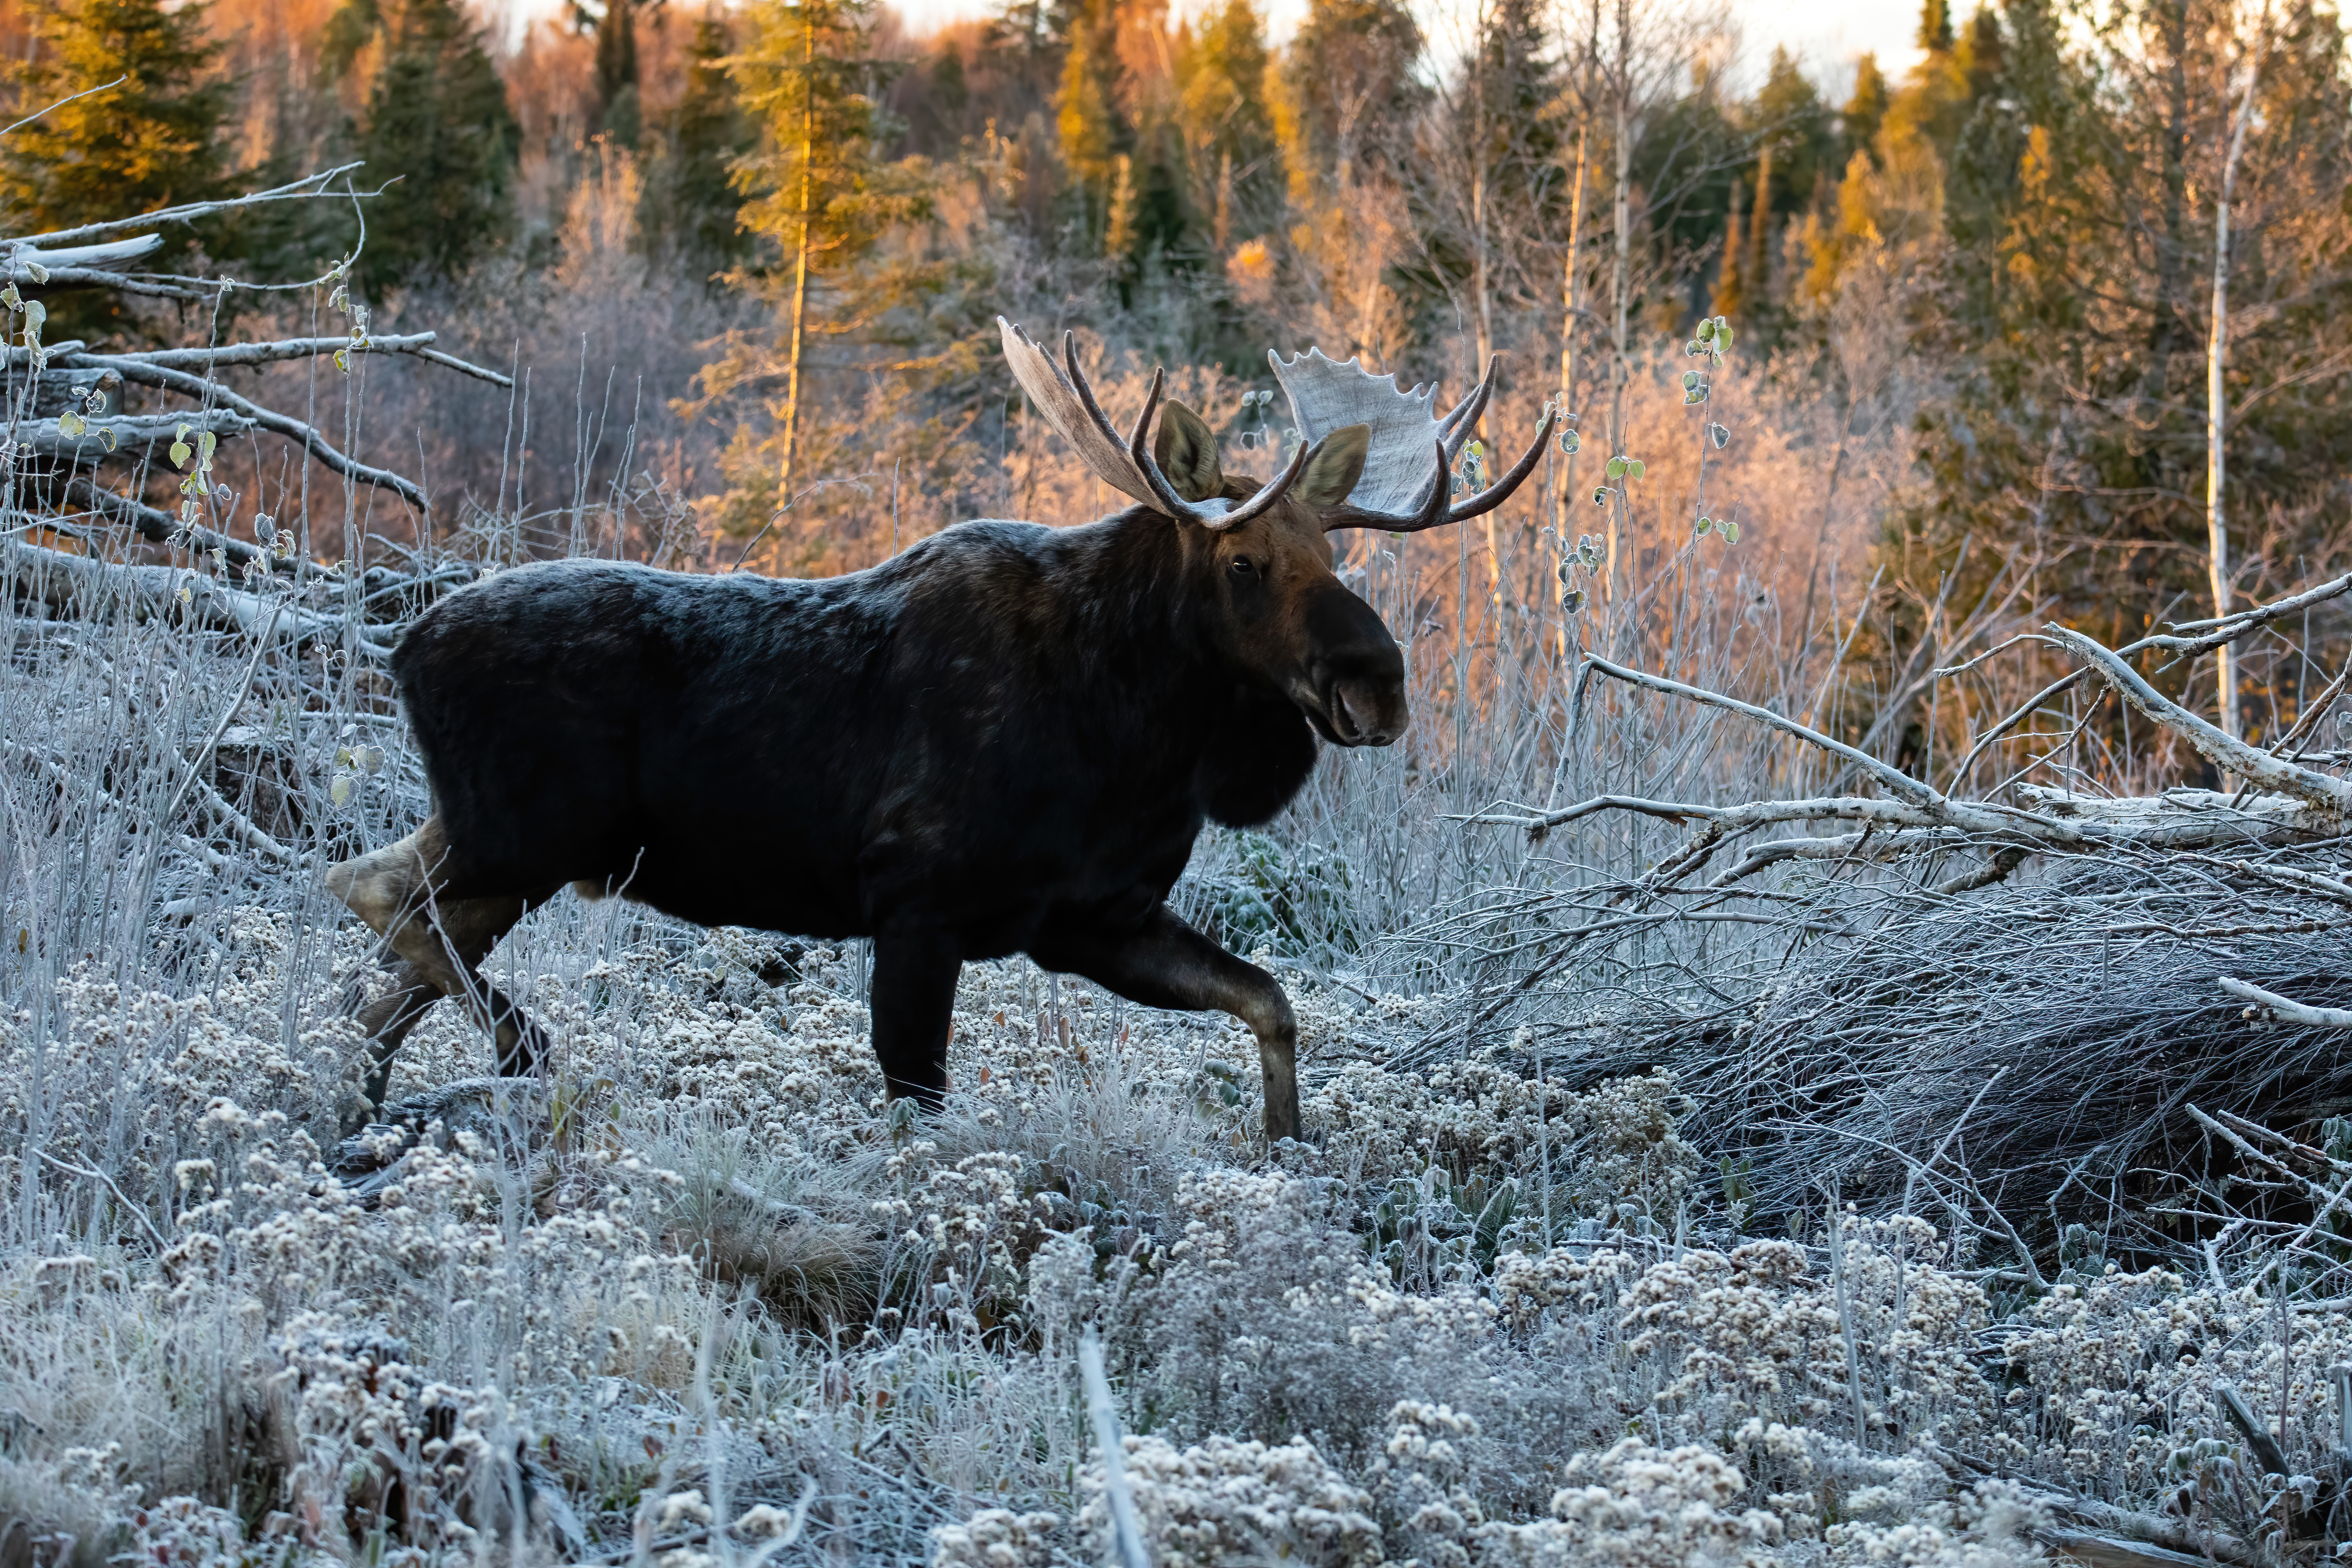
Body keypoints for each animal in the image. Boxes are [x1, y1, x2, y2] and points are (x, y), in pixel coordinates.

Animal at [323, 321, 1555, 1141]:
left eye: (1336, 556)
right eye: (1245, 561)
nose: (1376, 683)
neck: (1141, 738)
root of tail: (403, 646)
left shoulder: (1092, 918)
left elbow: (1270, 1000)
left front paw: (1287, 1145)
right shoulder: (918, 901)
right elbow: (918, 1097)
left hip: (506, 848)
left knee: (385, 958)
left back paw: (359, 1110)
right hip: (529, 836)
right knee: (373, 896)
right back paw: (520, 1048)